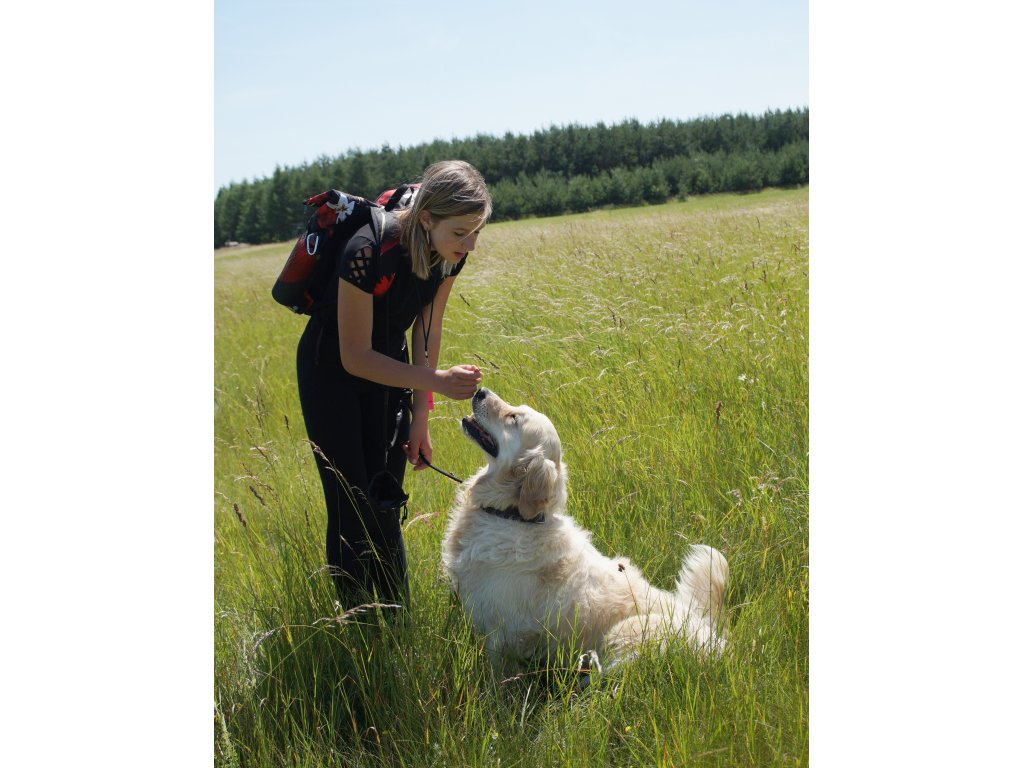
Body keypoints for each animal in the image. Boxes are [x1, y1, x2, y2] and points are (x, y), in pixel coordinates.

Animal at [440, 391, 729, 671]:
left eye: (514, 418)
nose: (480, 390)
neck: (514, 516)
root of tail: (713, 638)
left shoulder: (502, 633)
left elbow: (496, 673)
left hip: (626, 634)